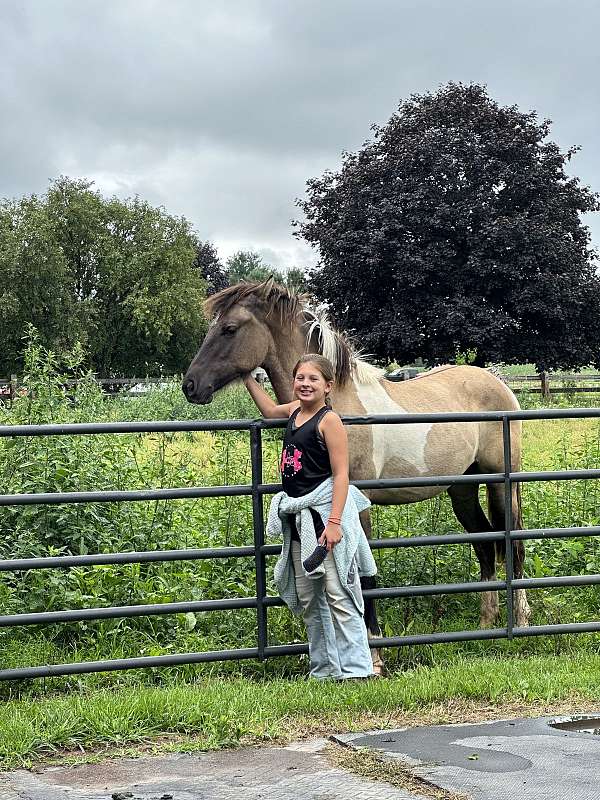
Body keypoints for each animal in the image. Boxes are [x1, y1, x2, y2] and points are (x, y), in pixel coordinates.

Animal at [182, 278, 528, 652]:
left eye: (229, 329)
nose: (190, 385)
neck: (336, 404)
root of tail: (501, 386)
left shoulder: (355, 502)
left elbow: (363, 575)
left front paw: (373, 643)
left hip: (500, 483)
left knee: (513, 545)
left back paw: (521, 621)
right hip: (462, 487)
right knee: (485, 544)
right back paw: (487, 622)